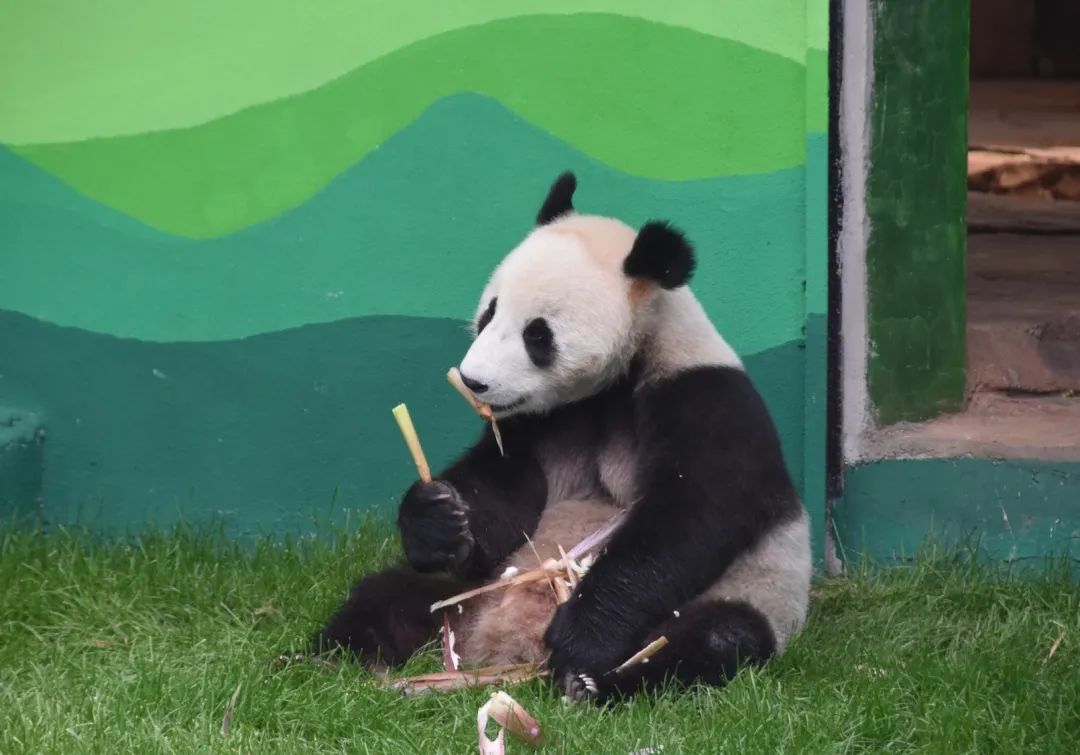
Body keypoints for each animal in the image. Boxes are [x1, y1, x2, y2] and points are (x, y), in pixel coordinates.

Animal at [313, 172, 812, 704]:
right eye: (489, 313)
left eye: (538, 335)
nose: (472, 380)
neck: (618, 376)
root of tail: (503, 656)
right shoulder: (540, 423)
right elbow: (504, 492)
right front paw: (438, 518)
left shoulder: (703, 398)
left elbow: (691, 516)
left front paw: (582, 636)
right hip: (466, 599)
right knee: (389, 595)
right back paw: (330, 659)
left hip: (748, 597)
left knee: (714, 639)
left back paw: (594, 682)